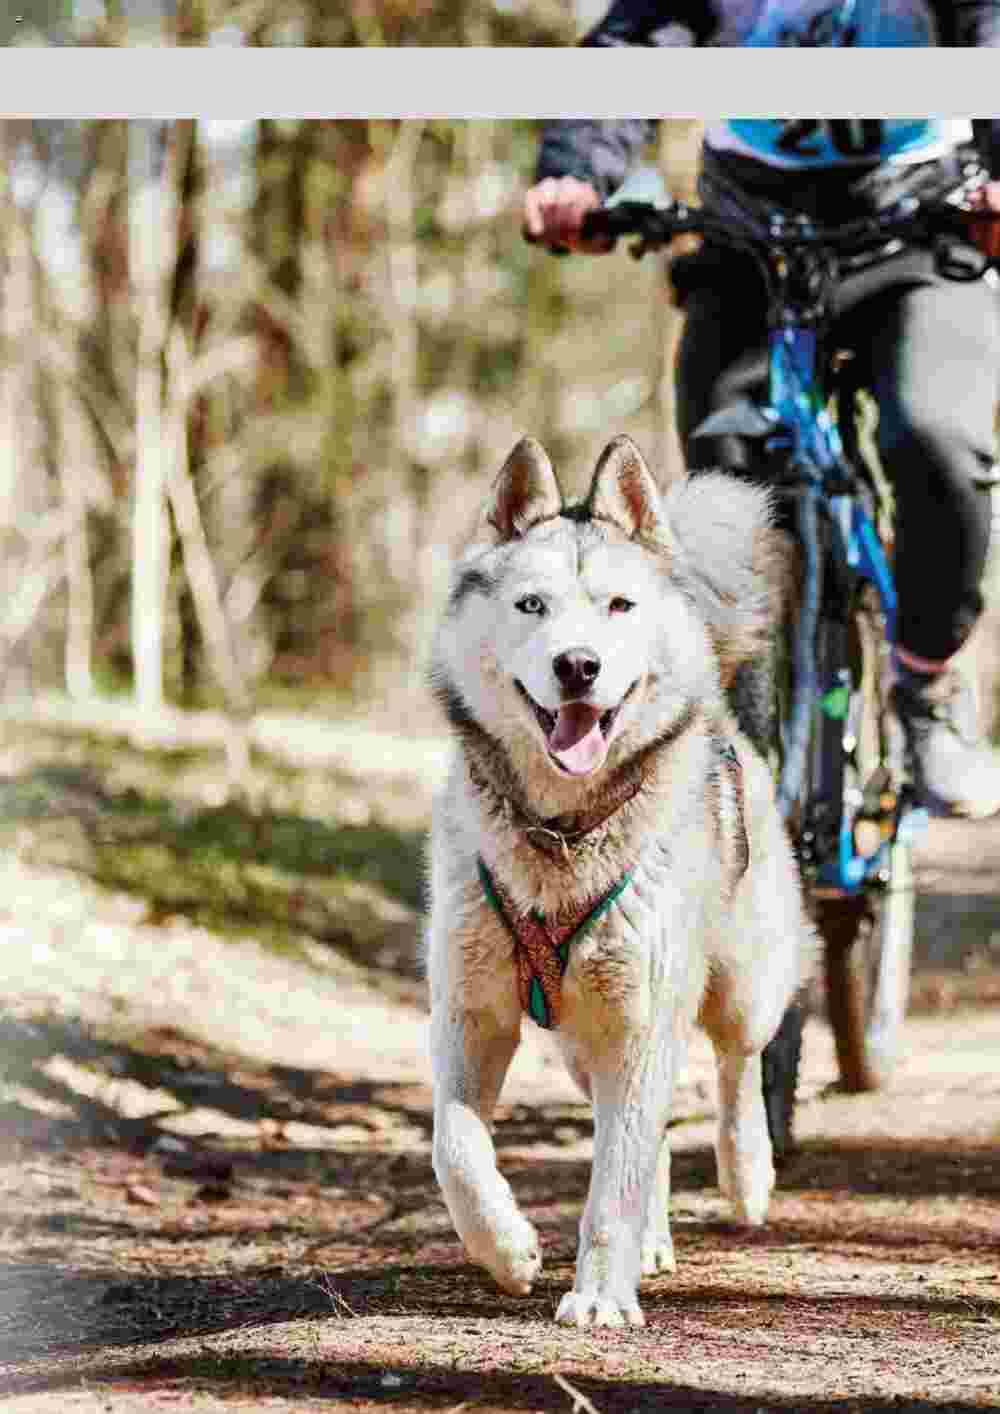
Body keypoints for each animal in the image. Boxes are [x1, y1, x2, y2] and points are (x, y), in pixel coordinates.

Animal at [427, 429, 809, 1323]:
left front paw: (599, 1296)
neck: (562, 837)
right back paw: (655, 1241)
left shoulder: (641, 1023)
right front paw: (507, 1248)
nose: (579, 666)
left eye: (618, 608)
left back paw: (747, 1174)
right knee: (648, 1135)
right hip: (578, 1040)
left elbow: (613, 1190)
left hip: (738, 987)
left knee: (737, 1071)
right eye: (532, 605)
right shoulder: (471, 1013)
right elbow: (454, 1147)